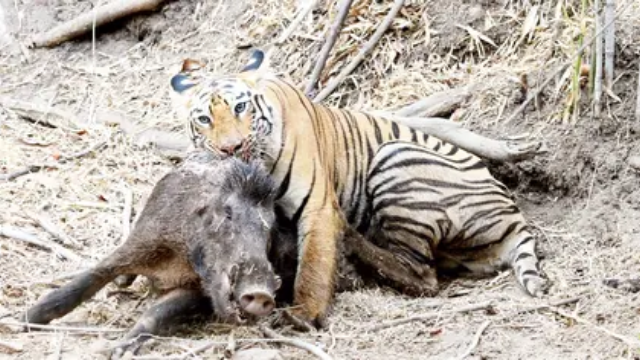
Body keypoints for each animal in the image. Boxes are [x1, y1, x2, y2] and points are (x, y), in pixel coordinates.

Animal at [169, 49, 544, 328]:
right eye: (204, 119)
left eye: (240, 107)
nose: (229, 148)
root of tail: (514, 217)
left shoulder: (317, 206)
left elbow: (313, 265)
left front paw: (302, 315)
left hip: (394, 156)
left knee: (422, 275)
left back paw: (352, 240)